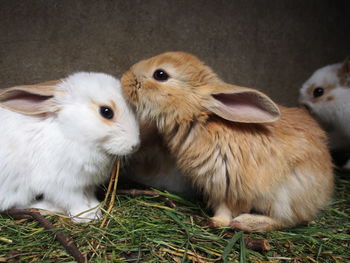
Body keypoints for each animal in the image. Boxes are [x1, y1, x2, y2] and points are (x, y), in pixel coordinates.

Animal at [0, 72, 139, 223]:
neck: (70, 131)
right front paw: (86, 216)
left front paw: (96, 209)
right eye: (106, 112)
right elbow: (74, 201)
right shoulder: (62, 185)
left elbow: (89, 196)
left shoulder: (87, 184)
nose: (135, 145)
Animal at [120, 52, 334, 233]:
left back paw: (247, 223)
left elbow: (227, 210)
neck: (202, 119)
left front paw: (216, 222)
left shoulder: (229, 185)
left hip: (286, 196)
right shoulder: (216, 186)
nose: (124, 78)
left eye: (160, 74)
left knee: (287, 220)